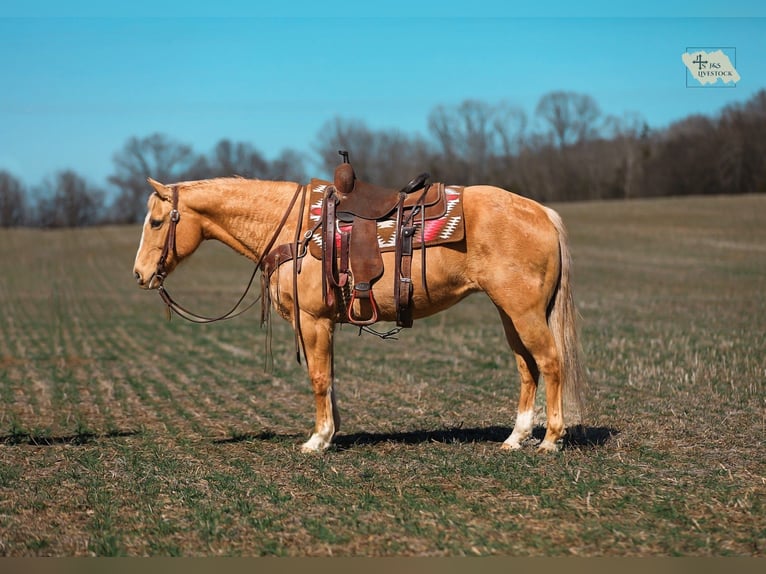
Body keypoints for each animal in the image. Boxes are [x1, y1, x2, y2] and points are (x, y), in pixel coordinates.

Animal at [132, 175, 586, 453]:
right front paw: (331, 431)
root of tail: (542, 212)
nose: (139, 275)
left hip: (524, 312)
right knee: (527, 367)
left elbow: (318, 378)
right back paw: (516, 438)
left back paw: (551, 440)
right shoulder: (320, 323)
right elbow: (329, 377)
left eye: (156, 221)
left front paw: (317, 440)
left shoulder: (313, 320)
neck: (294, 230)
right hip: (509, 313)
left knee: (550, 362)